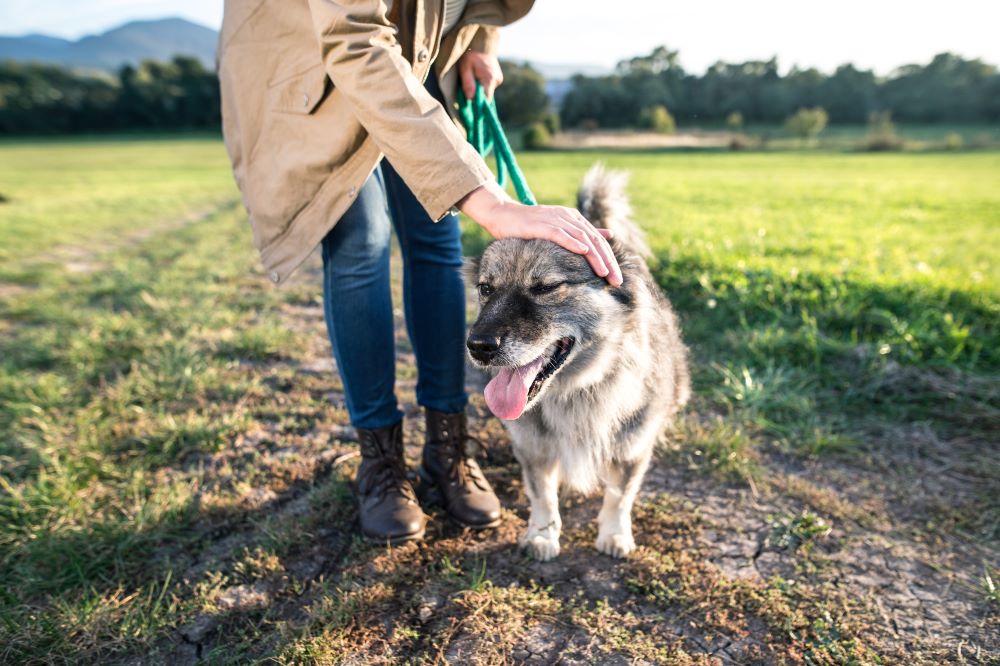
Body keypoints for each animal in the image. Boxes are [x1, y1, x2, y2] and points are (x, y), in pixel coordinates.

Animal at [466, 163, 688, 556]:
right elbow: (542, 495)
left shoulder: (632, 447)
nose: (478, 346)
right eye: (486, 288)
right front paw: (542, 534)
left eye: (545, 287)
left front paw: (614, 533)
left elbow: (620, 496)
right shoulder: (533, 447)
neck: (577, 388)